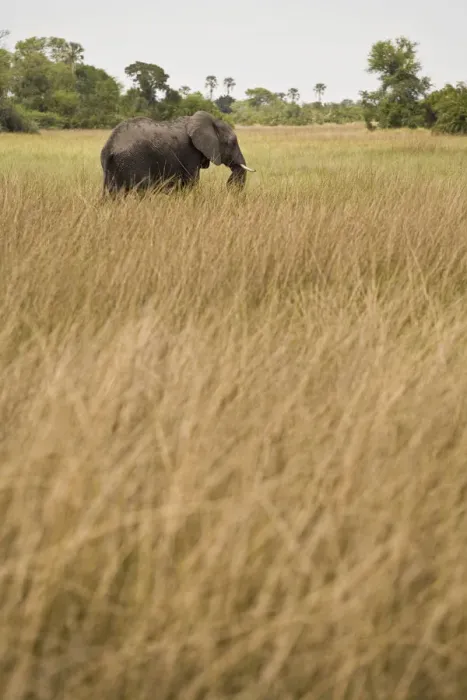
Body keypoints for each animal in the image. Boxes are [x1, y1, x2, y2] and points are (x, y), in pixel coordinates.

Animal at [100, 110, 255, 195]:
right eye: (232, 143)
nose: (230, 186)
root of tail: (110, 147)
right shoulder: (190, 151)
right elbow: (191, 182)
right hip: (133, 161)